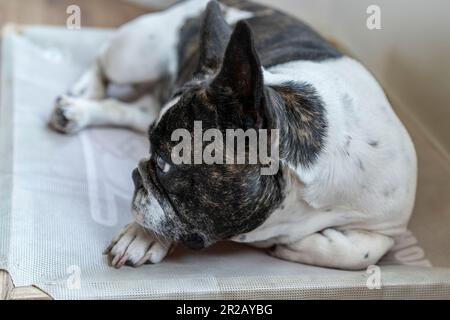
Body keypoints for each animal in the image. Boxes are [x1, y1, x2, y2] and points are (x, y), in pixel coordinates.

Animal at [47, 0, 416, 270]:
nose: (136, 176)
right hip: (136, 53)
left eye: (163, 164)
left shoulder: (390, 227)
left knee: (130, 109)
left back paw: (78, 111)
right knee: (103, 59)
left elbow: (362, 253)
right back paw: (82, 95)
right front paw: (143, 235)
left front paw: (295, 243)